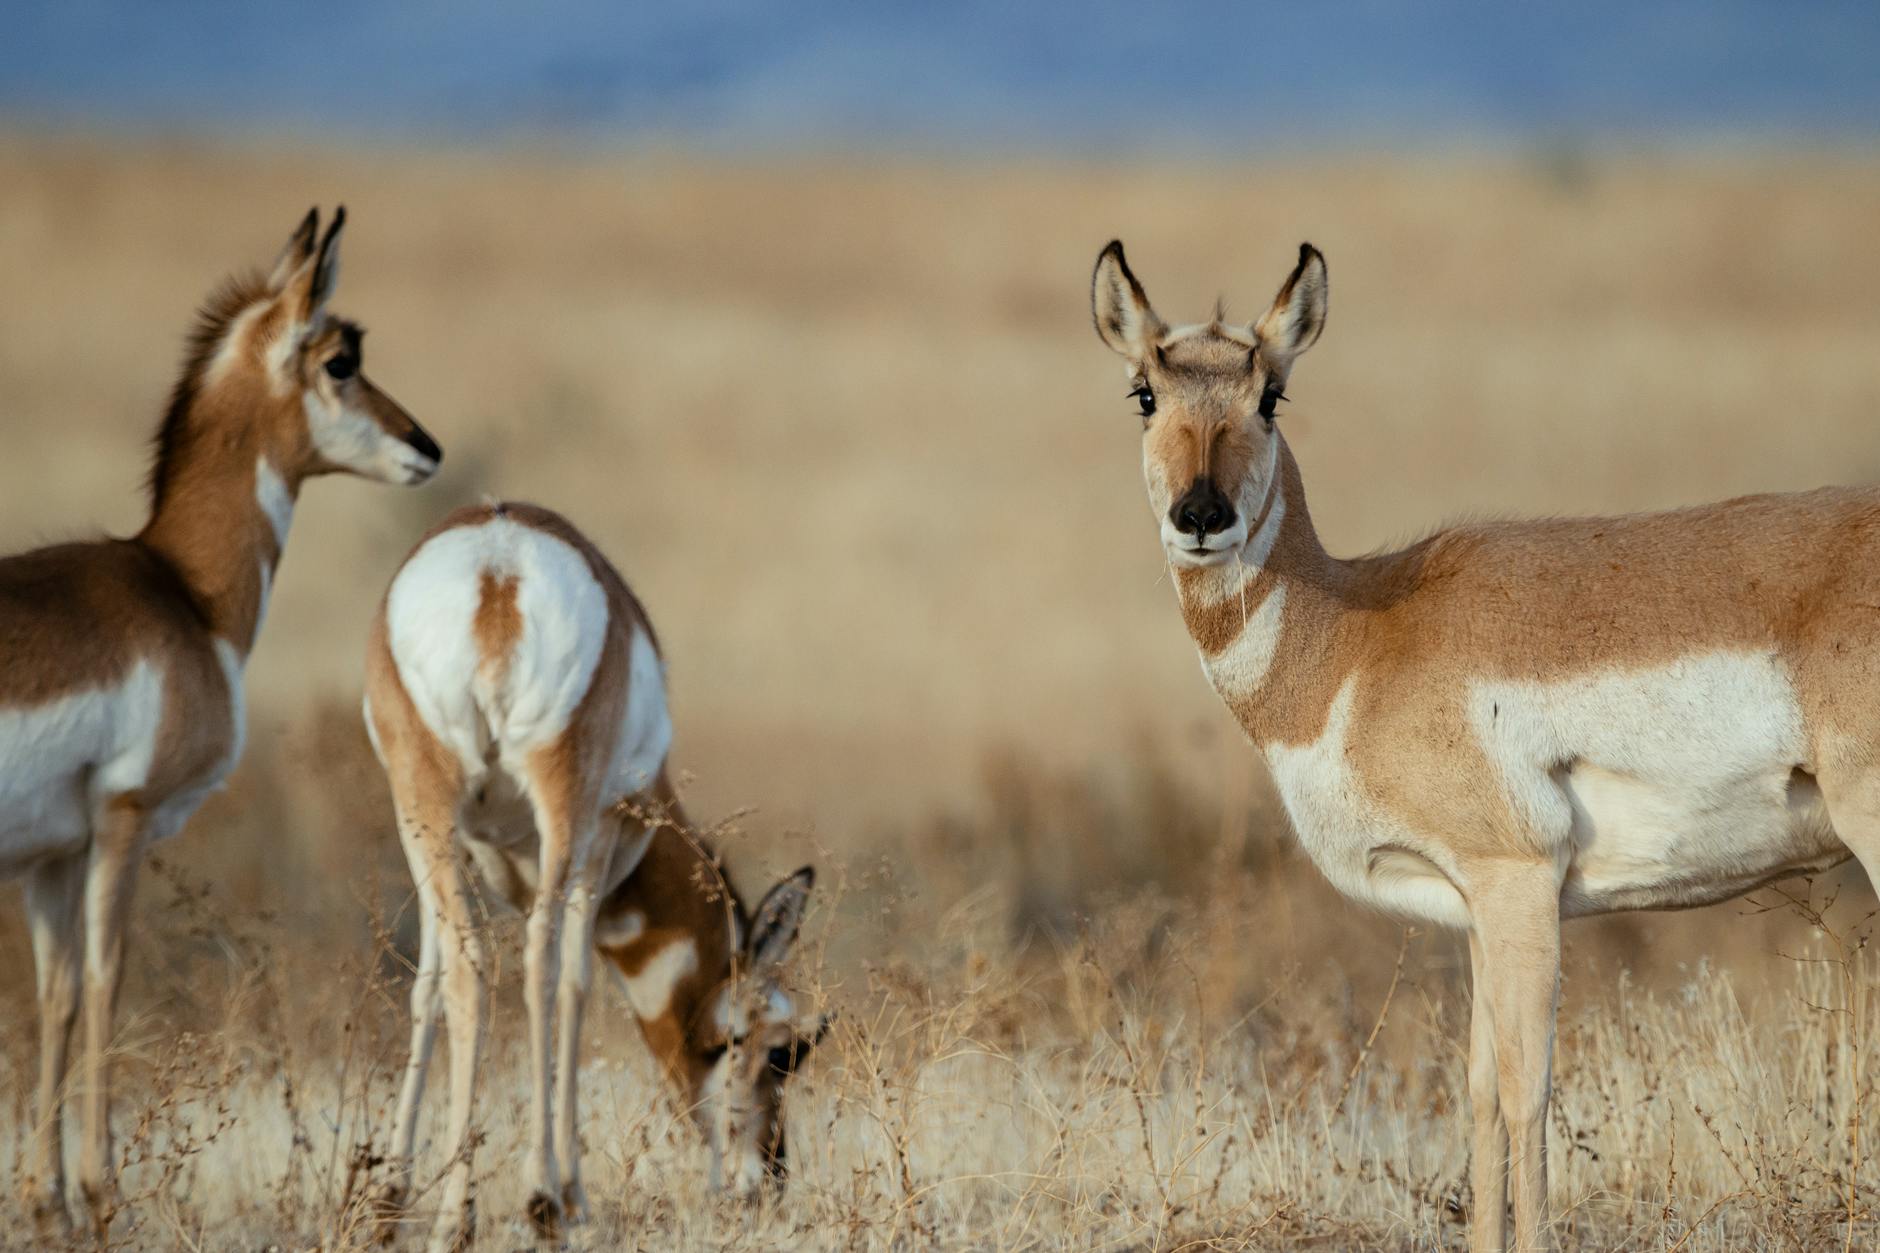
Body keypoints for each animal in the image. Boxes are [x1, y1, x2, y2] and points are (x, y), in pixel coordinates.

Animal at [1, 208, 440, 1238]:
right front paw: (100, 1193)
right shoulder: (121, 823)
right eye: (339, 358)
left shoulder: (51, 854)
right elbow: (106, 979)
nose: (426, 446)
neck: (182, 591)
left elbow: (55, 997)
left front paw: (47, 1203)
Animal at [364, 501, 823, 1250]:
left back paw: (455, 1215)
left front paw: (388, 1198)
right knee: (542, 966)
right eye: (784, 1049)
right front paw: (568, 1191)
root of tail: (498, 570)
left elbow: (427, 988)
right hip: (562, 808)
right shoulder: (602, 838)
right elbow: (575, 981)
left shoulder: (453, 848)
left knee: (469, 968)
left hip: (421, 803)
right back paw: (543, 1199)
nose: (767, 1181)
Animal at [1091, 240, 1879, 1252]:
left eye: (1270, 393)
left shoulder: (1518, 884)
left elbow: (1523, 1090)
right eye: (1145, 390)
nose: (1200, 514)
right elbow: (1475, 1093)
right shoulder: (1473, 906)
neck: (1359, 636)